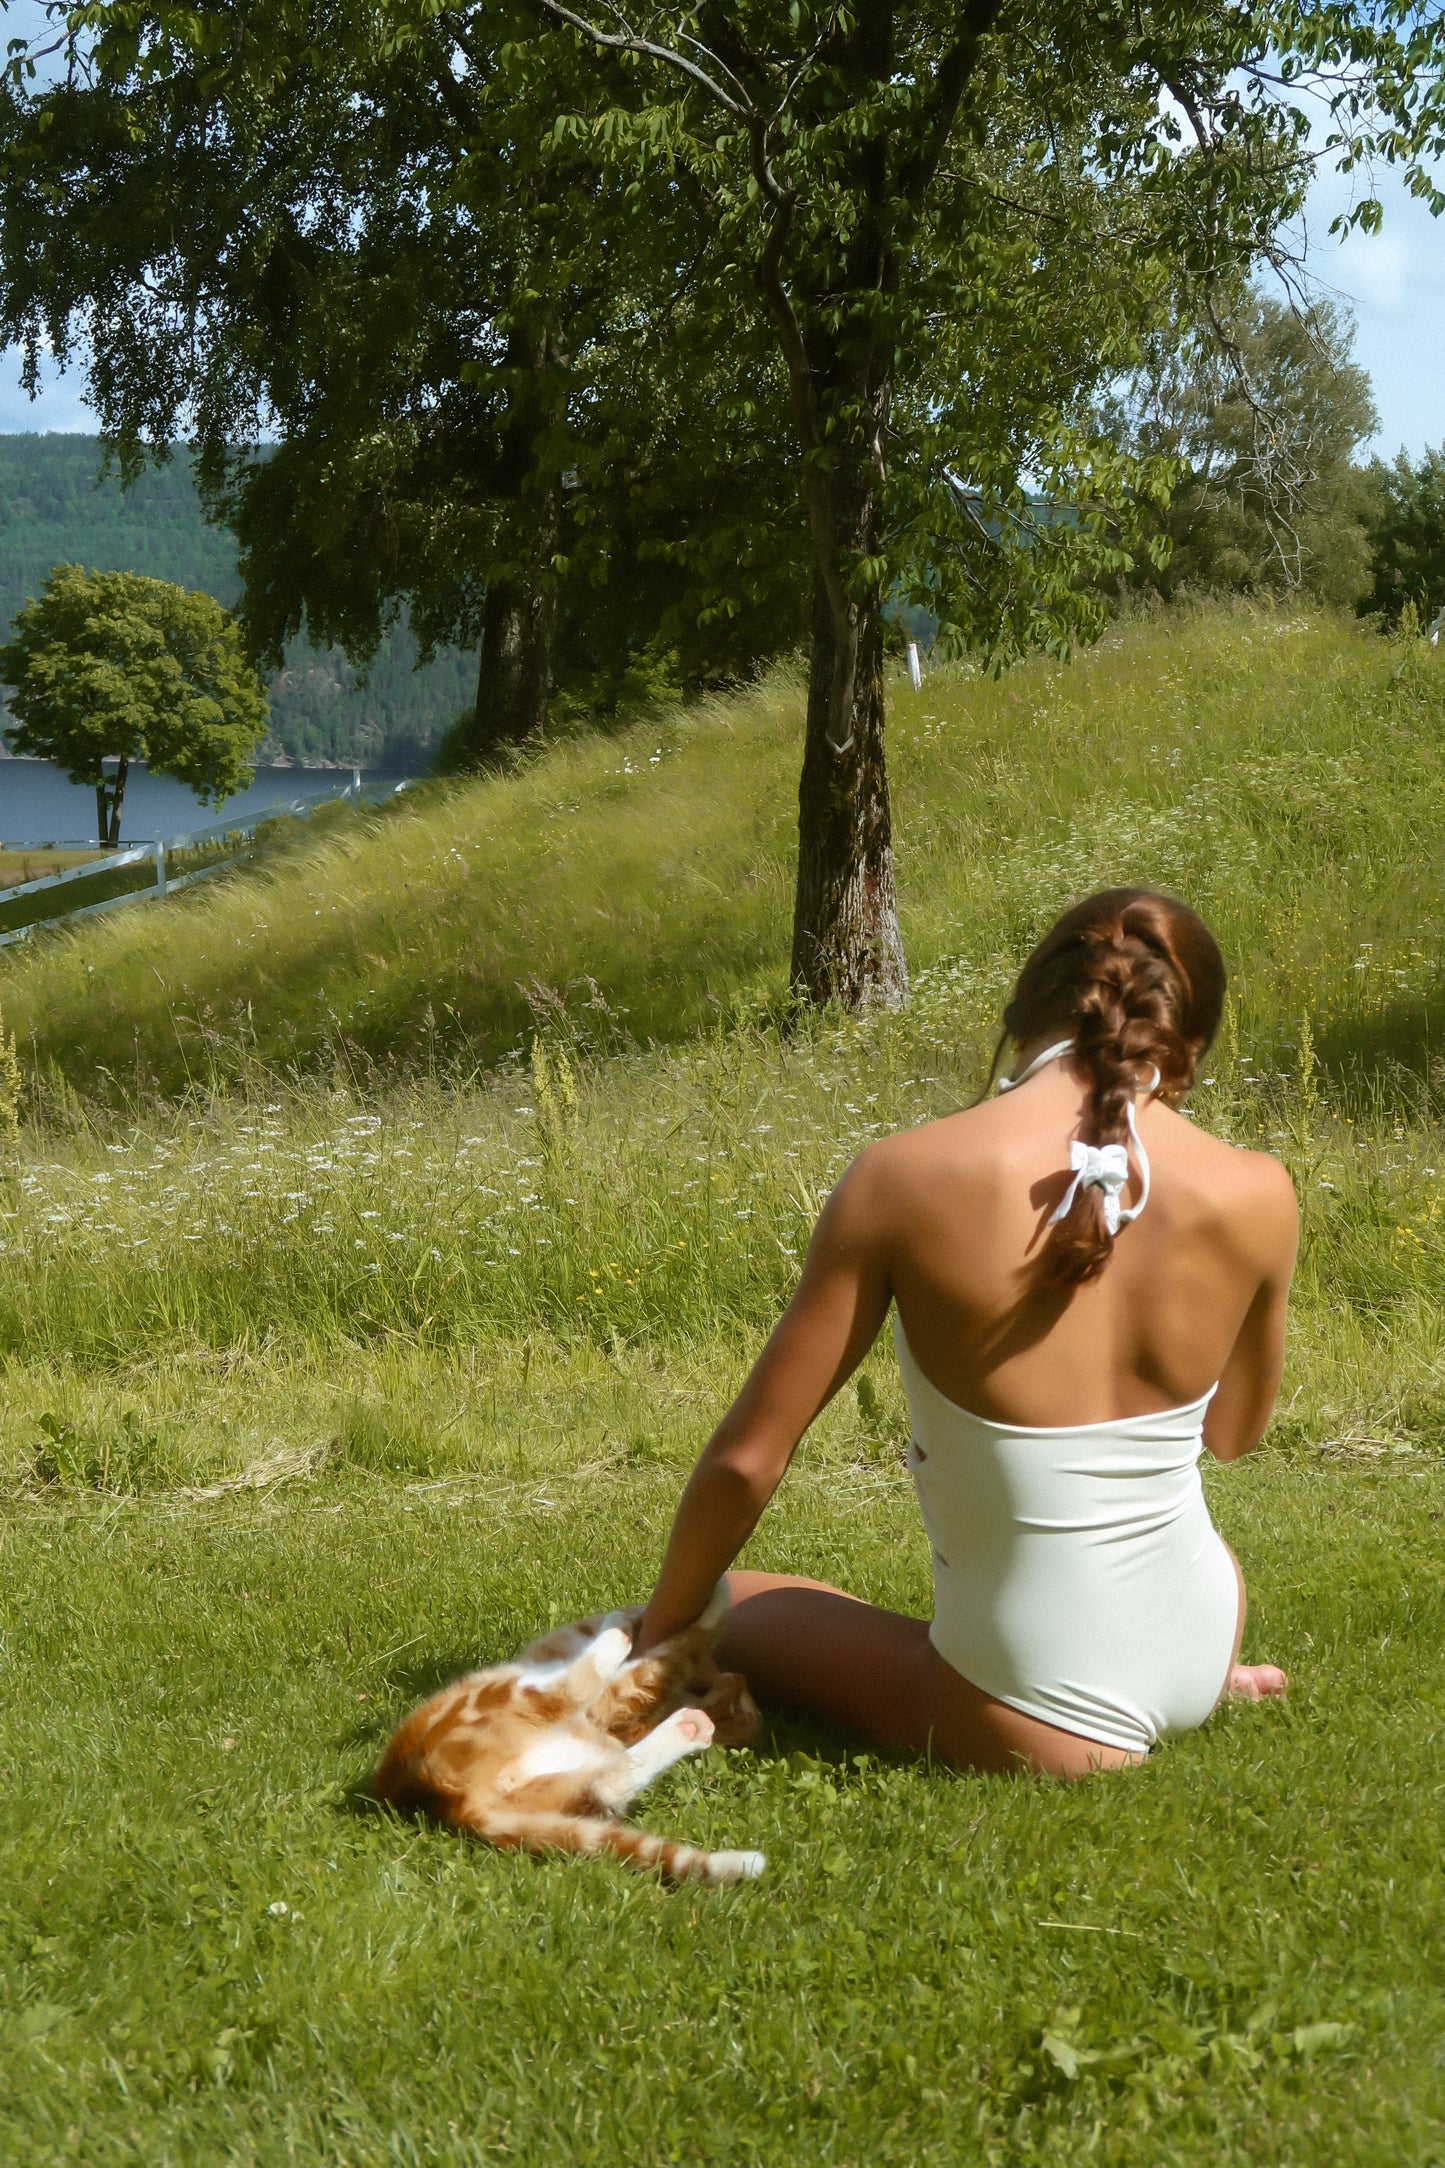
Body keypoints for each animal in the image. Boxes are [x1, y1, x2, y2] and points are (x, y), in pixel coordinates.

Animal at [372, 1578, 762, 1881]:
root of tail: (453, 1806)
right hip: (562, 1790)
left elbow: (681, 1646)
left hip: (509, 1702)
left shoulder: (619, 1687)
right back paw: (687, 1726)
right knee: (605, 1781)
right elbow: (678, 1648)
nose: (741, 1678)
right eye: (743, 1701)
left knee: (573, 1693)